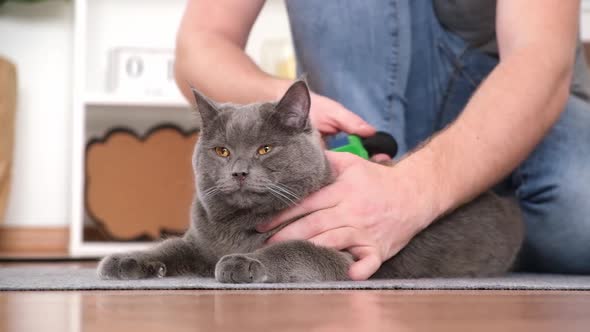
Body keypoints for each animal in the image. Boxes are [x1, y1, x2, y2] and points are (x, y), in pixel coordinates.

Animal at [98, 80, 528, 282]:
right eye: (222, 151)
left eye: (264, 149)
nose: (238, 172)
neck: (241, 228)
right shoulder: (198, 242)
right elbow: (170, 248)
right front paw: (125, 261)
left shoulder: (347, 254)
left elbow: (292, 249)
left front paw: (244, 263)